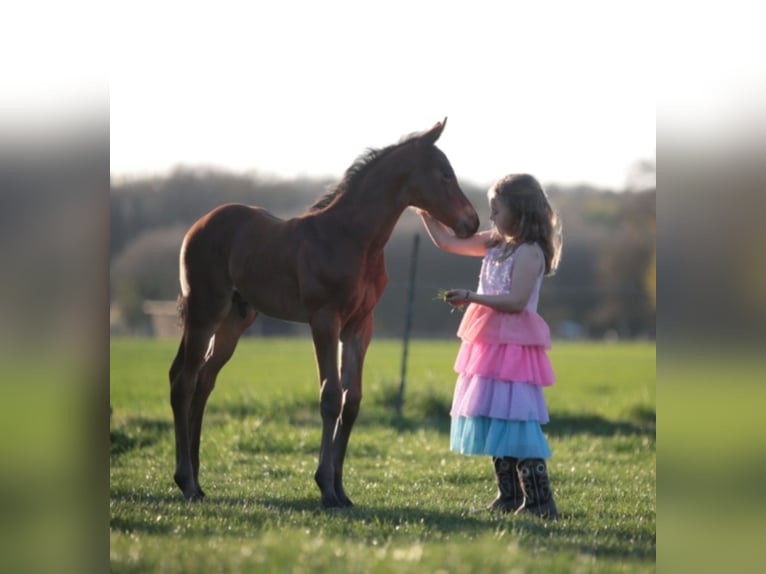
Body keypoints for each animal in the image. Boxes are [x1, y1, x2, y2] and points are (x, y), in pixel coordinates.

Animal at [168, 118, 479, 508]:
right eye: (445, 175)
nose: (472, 222)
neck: (353, 239)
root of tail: (200, 224)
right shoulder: (324, 319)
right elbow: (330, 396)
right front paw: (325, 488)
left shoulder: (360, 325)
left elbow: (352, 400)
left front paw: (341, 490)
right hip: (205, 310)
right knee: (184, 381)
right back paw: (186, 481)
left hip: (235, 319)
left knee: (204, 380)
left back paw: (197, 479)